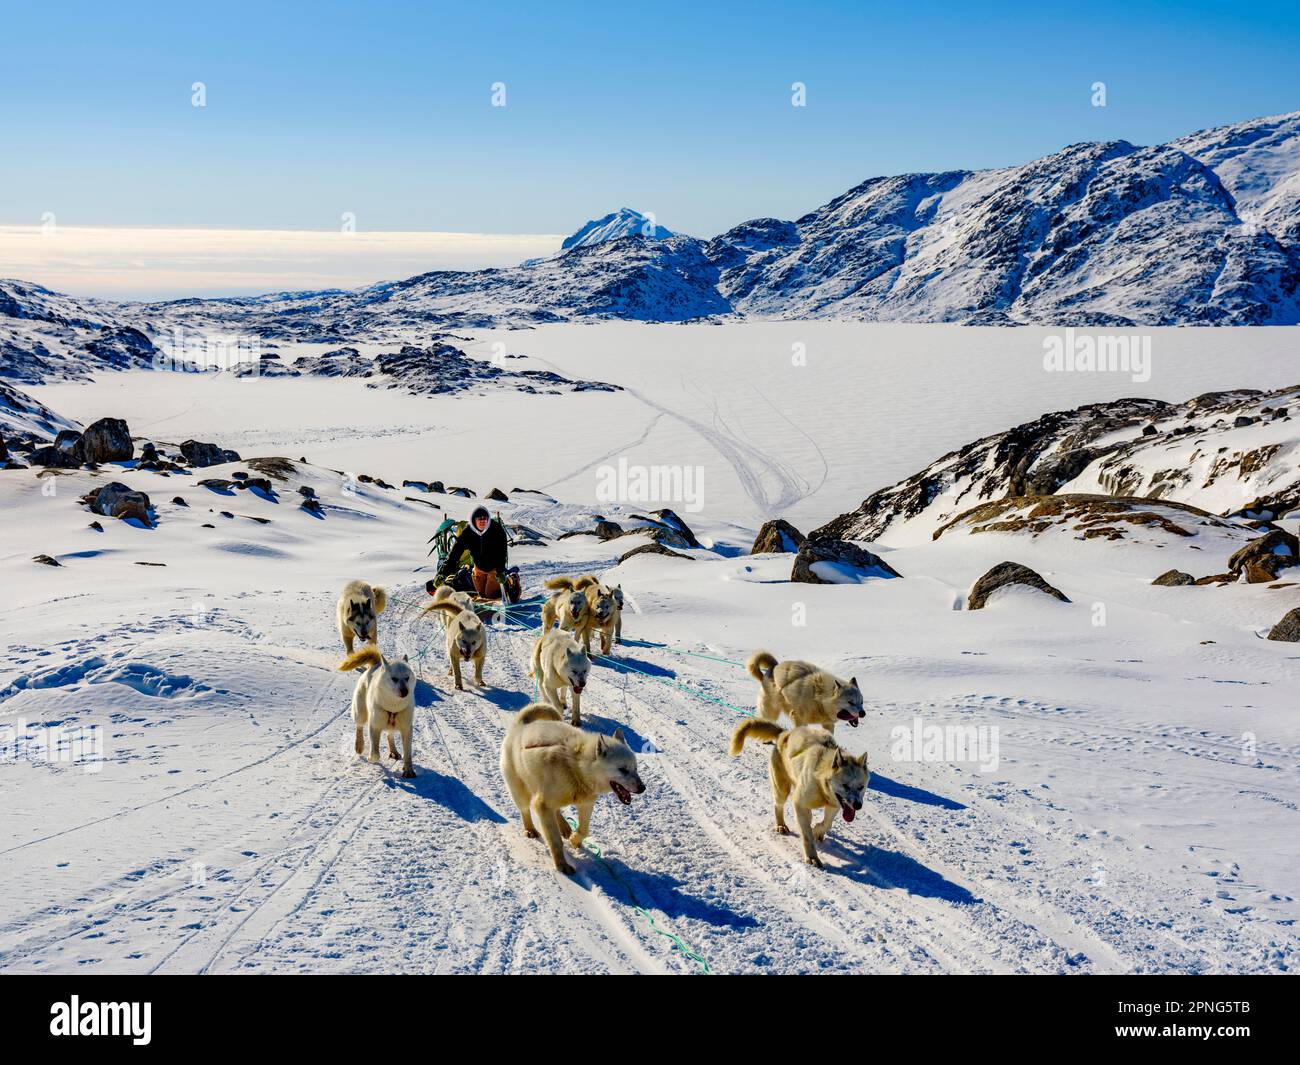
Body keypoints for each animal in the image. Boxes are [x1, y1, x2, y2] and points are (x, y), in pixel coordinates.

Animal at [340, 644, 416, 780]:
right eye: (394, 679)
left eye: (407, 678)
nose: (405, 691)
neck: (393, 706)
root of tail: (376, 664)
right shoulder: (374, 726)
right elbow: (375, 753)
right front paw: (371, 758)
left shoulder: (407, 729)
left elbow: (408, 753)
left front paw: (408, 770)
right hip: (360, 712)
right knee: (359, 726)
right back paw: (359, 745)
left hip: (393, 724)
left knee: (389, 735)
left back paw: (394, 751)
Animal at [496, 702, 644, 868]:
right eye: (623, 769)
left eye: (635, 768)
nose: (642, 788)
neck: (576, 766)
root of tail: (521, 725)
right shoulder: (543, 804)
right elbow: (555, 840)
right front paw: (562, 865)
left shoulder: (585, 804)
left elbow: (584, 830)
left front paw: (574, 839)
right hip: (521, 793)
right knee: (525, 810)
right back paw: (531, 829)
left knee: (556, 811)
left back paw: (565, 828)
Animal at [733, 723, 863, 868]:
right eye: (845, 786)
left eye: (861, 787)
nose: (858, 805)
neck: (821, 782)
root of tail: (784, 733)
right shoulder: (799, 803)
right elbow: (807, 835)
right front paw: (812, 857)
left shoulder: (834, 806)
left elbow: (826, 824)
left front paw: (817, 831)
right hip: (782, 790)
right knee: (778, 806)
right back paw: (781, 825)